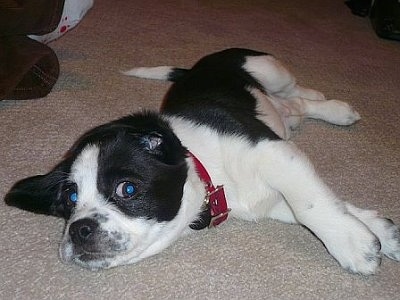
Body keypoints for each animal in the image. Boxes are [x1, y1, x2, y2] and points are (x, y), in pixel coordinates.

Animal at [3, 47, 400, 274]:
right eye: (69, 201)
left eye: (127, 189)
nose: (78, 229)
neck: (211, 170)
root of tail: (195, 67)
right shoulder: (272, 196)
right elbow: (325, 205)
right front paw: (381, 232)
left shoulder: (273, 153)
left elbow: (311, 206)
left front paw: (353, 245)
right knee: (296, 105)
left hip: (268, 68)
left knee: (297, 91)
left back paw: (332, 105)